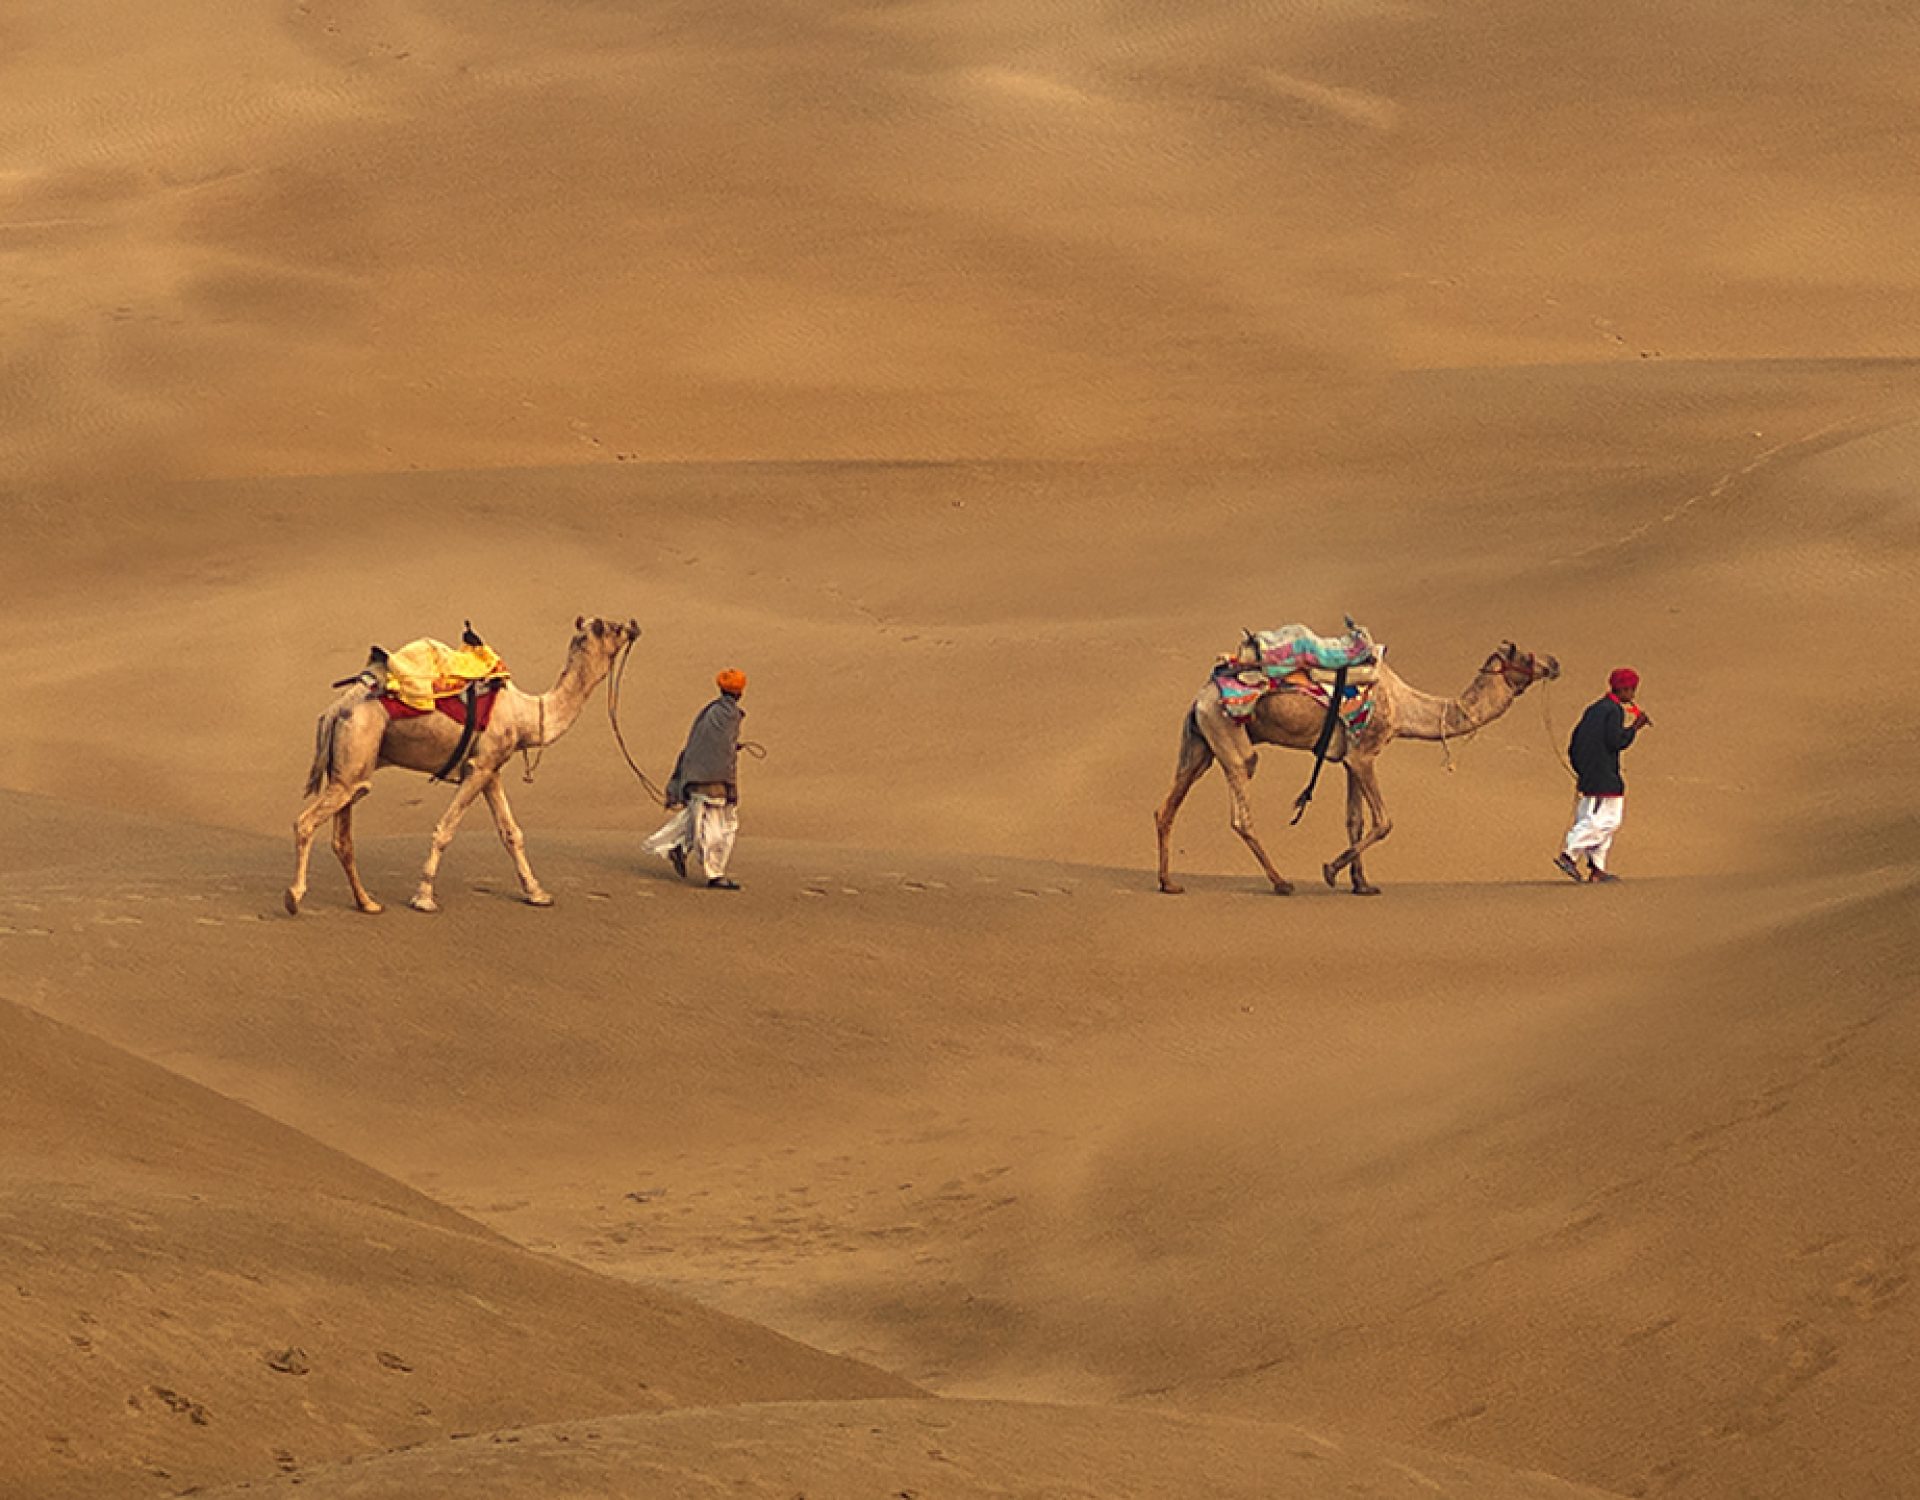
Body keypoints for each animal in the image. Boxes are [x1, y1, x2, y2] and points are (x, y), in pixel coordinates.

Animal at [1152, 626, 1559, 895]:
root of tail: (1202, 696)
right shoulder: (1366, 753)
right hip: (1230, 737)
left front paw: (1362, 883)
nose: (1554, 662)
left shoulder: (1349, 758)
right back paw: (1281, 882)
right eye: (1525, 656)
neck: (1405, 707)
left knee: (1167, 807)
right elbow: (1383, 821)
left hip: (1200, 743)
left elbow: (1355, 820)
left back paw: (1169, 883)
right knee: (1241, 813)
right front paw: (1332, 870)